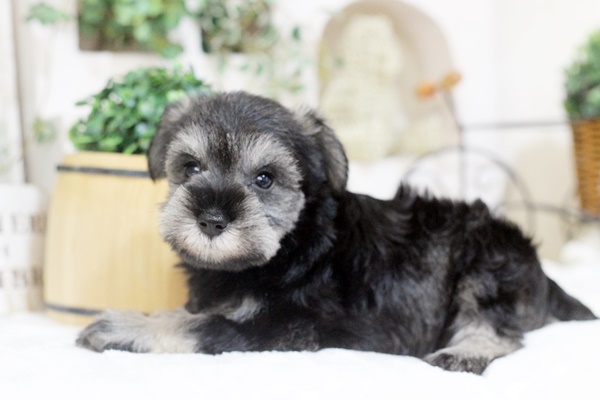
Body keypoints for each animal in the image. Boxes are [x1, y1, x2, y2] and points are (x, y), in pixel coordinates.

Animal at [77, 91, 596, 374]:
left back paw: (461, 353)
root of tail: (540, 271)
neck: (293, 245)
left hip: (489, 265)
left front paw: (122, 326)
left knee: (499, 331)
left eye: (264, 178)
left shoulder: (282, 327)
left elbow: (194, 325)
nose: (211, 220)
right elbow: (192, 314)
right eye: (191, 168)